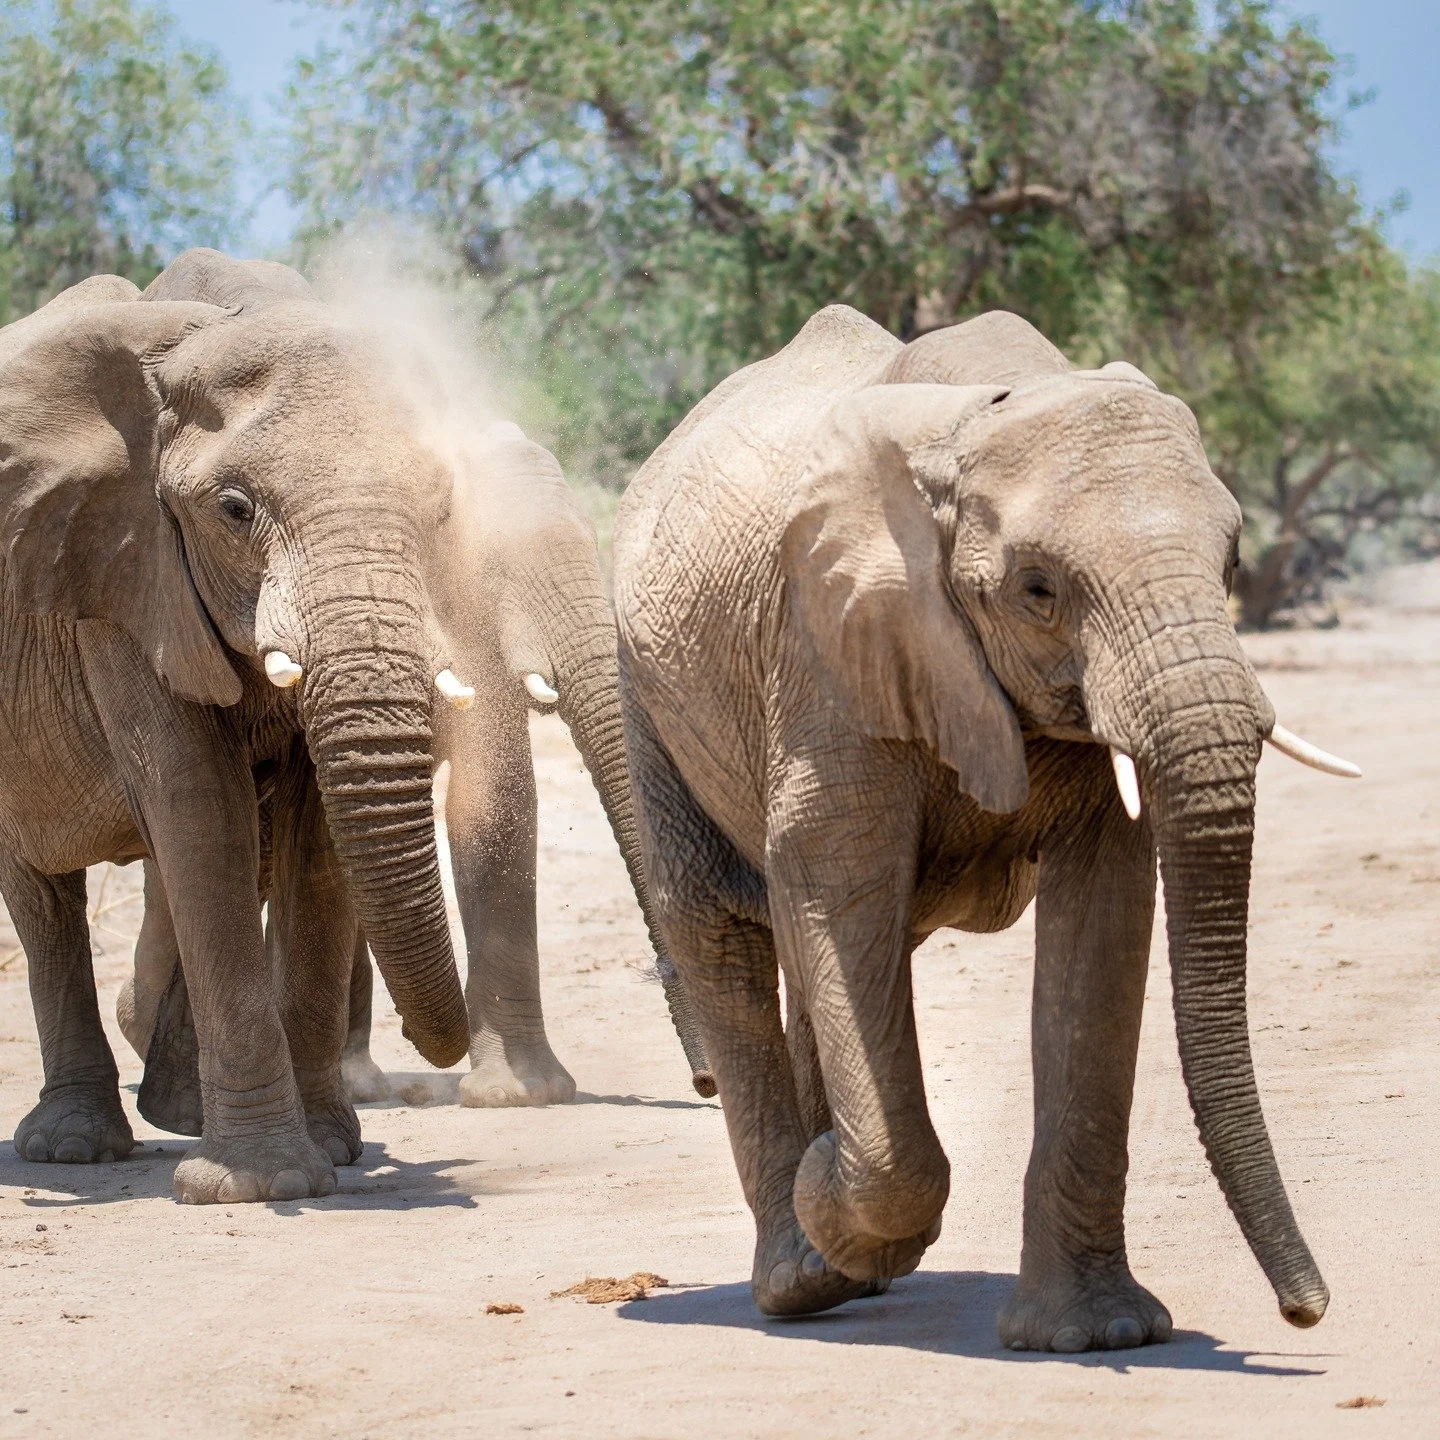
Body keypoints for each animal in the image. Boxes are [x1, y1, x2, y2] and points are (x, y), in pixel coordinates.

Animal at [0, 248, 704, 1205]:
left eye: (437, 506)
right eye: (232, 509)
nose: (705, 1085)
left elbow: (327, 836)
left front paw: (333, 1151)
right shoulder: (123, 572)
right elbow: (199, 811)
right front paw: (260, 1183)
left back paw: (177, 1108)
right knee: (45, 891)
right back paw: (78, 1146)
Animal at [612, 304, 1360, 1348]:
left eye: (1234, 563)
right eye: (1039, 590)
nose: (1304, 1312)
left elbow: (1105, 913)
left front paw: (1097, 1337)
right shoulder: (828, 646)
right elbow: (832, 874)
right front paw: (831, 1201)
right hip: (648, 690)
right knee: (721, 918)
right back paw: (804, 1278)